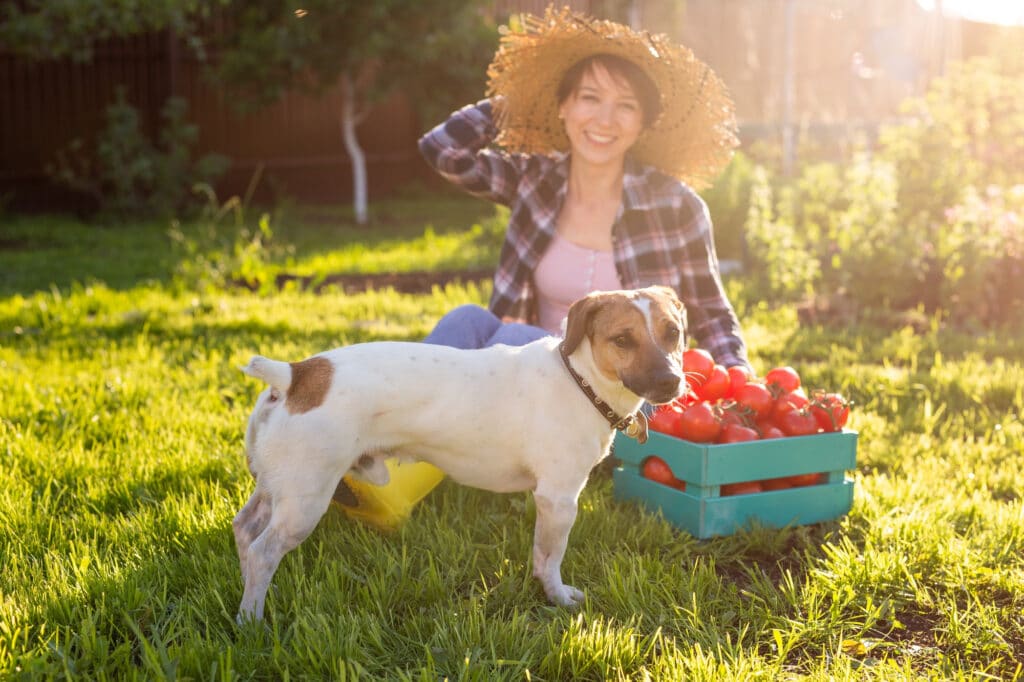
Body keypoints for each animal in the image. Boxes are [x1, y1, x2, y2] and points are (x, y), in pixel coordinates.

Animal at [234, 284, 688, 618]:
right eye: (623, 339)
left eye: (673, 333)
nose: (671, 381)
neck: (580, 380)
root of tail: (295, 375)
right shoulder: (558, 499)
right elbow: (549, 557)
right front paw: (556, 597)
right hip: (305, 501)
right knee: (263, 553)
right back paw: (252, 621)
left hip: (276, 489)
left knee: (245, 530)